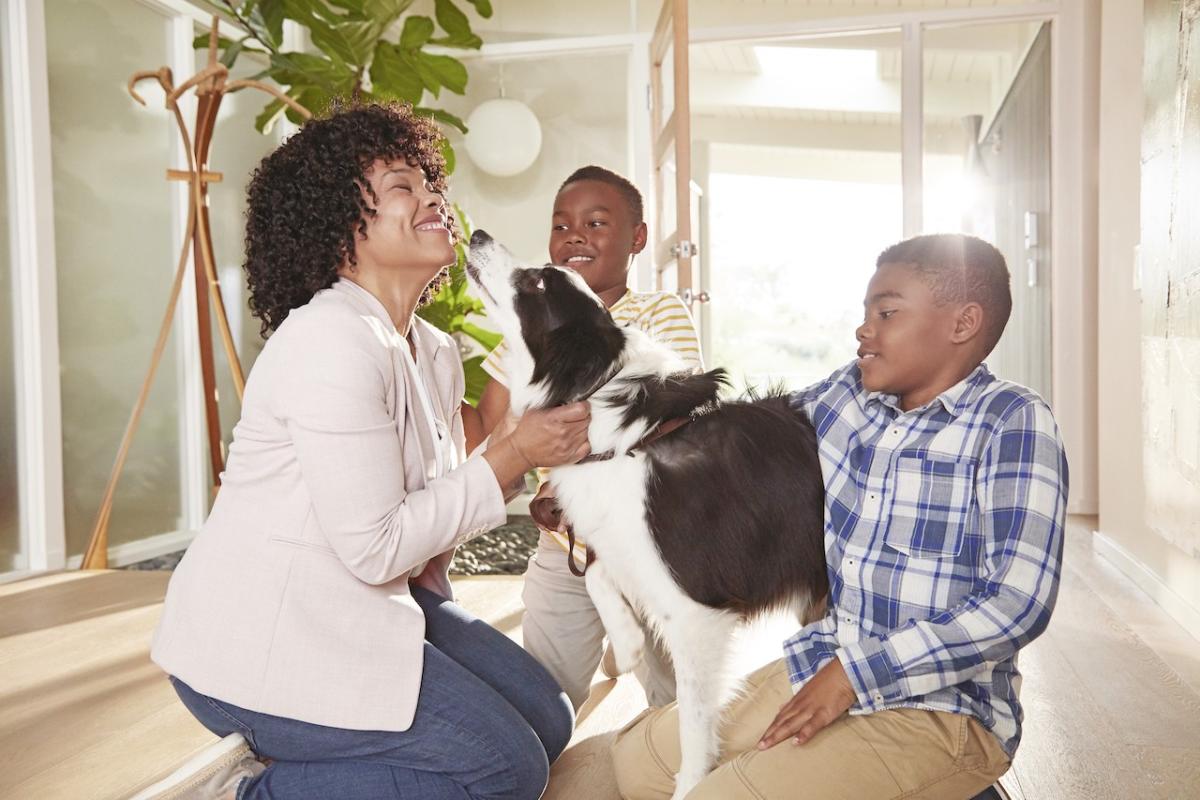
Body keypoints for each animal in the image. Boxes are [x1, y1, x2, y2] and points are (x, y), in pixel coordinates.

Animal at [465, 227, 825, 796]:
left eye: (538, 282)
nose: (477, 233)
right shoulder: (626, 543)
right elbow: (598, 572)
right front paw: (629, 642)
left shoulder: (698, 611)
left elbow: (693, 721)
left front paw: (690, 783)